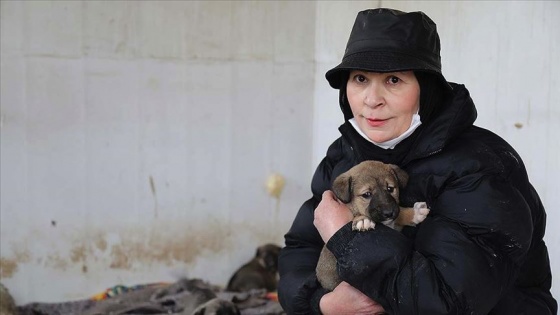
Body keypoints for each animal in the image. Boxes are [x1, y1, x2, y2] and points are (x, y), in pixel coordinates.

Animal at [316, 162, 428, 292]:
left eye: (390, 189)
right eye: (367, 194)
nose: (388, 213)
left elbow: (400, 213)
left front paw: (415, 213)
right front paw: (363, 219)